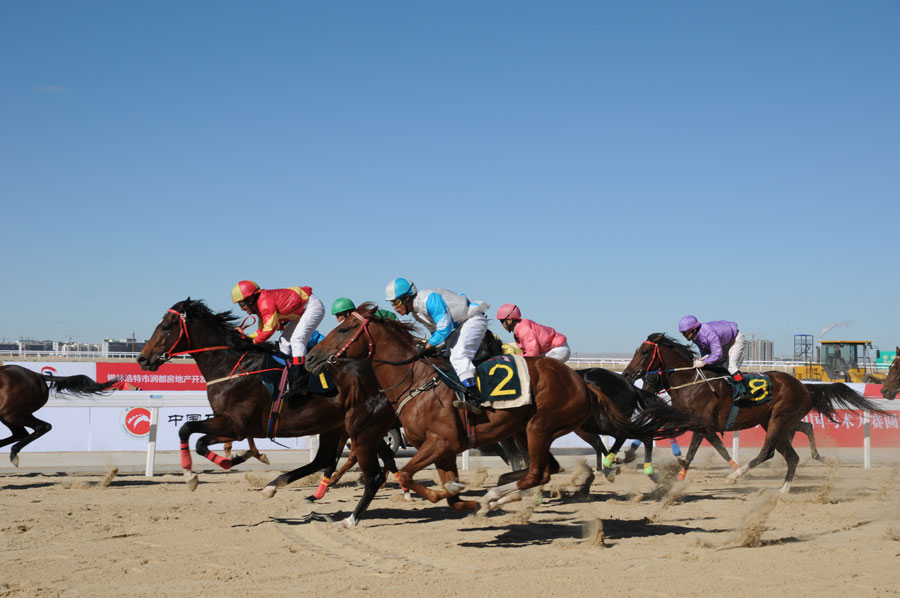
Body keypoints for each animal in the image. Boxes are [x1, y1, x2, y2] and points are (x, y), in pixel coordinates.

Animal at [306, 302, 692, 528]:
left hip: (540, 426)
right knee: (545, 469)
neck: (415, 380)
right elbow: (448, 492)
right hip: (529, 429)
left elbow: (406, 475)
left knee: (539, 472)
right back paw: (500, 493)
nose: (310, 358)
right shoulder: (445, 449)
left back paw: (500, 494)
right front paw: (462, 498)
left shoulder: (441, 441)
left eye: (343, 329)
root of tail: (580, 380)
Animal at [620, 332, 884, 492]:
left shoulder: (699, 423)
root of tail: (803, 386)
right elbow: (702, 446)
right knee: (793, 453)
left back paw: (737, 476)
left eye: (644, 352)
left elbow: (692, 449)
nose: (627, 375)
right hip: (776, 422)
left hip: (779, 420)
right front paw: (632, 457)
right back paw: (785, 487)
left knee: (768, 451)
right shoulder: (695, 423)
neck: (692, 382)